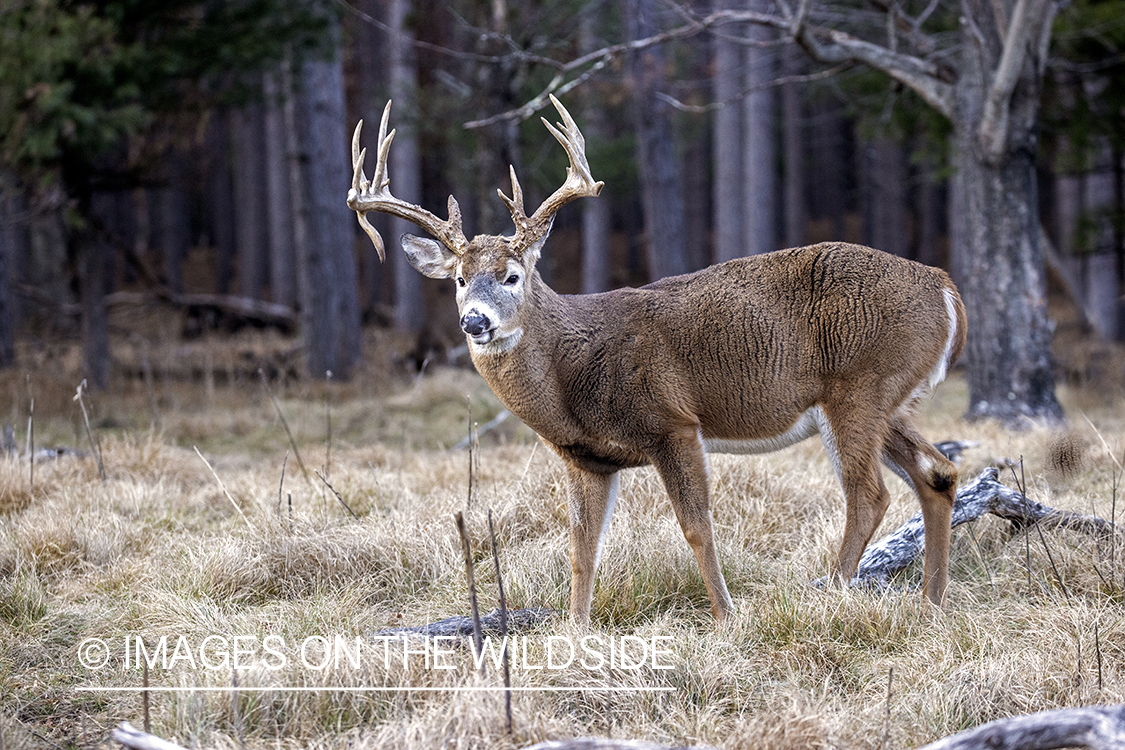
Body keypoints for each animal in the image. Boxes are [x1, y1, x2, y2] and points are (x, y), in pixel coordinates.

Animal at [348, 96, 967, 625]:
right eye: (457, 279)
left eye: (512, 275)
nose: (475, 322)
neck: (573, 370)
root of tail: (945, 288)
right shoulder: (586, 459)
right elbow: (582, 548)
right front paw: (576, 631)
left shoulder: (673, 422)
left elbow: (696, 528)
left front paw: (726, 618)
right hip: (888, 398)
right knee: (937, 472)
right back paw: (932, 605)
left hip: (859, 386)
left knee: (870, 495)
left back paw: (833, 596)